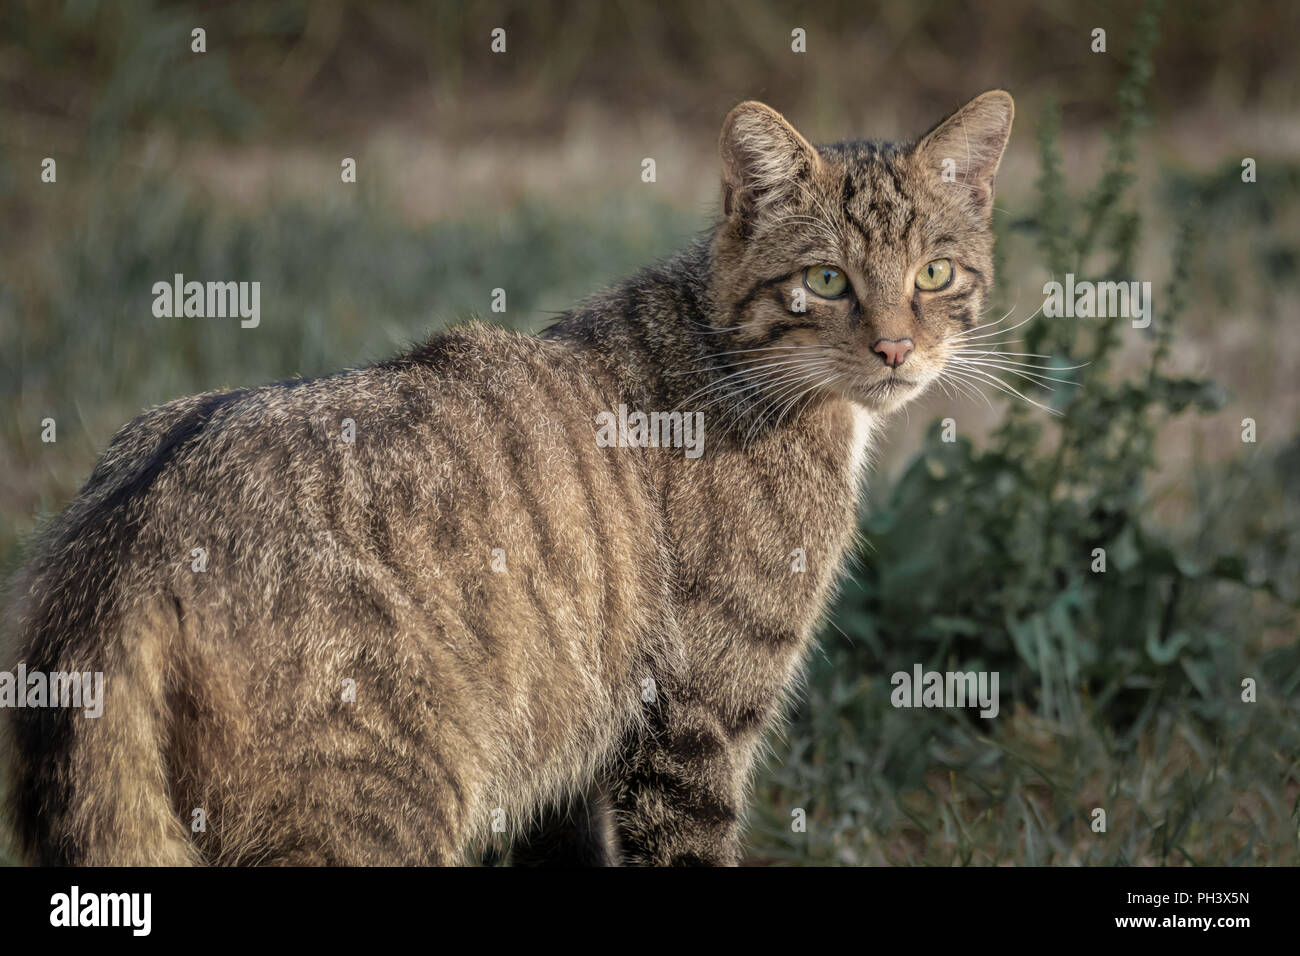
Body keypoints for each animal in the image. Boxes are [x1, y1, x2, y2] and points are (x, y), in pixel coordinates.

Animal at [0, 89, 1013, 868]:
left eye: (935, 273)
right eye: (827, 280)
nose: (896, 348)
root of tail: (126, 542)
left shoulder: (570, 764)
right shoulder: (694, 721)